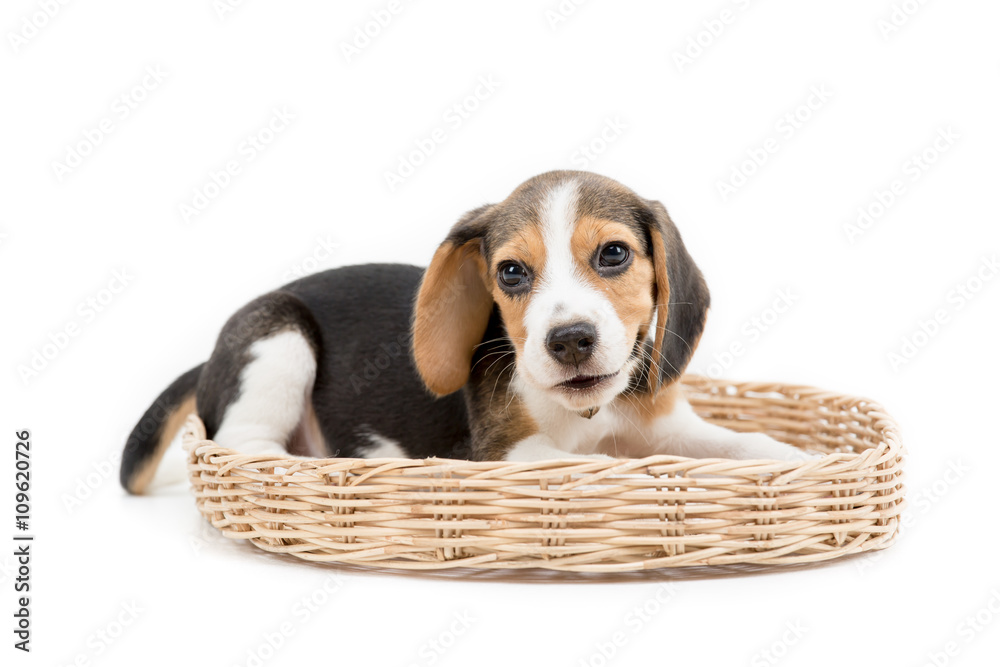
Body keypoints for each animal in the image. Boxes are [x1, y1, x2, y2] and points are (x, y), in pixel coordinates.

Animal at [119, 172, 804, 496]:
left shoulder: (669, 426)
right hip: (279, 336)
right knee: (245, 444)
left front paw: (796, 458)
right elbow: (592, 462)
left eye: (613, 255)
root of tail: (209, 356)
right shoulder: (508, 453)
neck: (587, 414)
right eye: (510, 272)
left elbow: (739, 443)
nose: (569, 340)